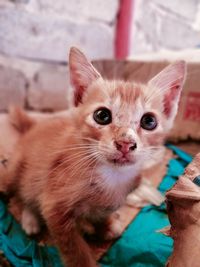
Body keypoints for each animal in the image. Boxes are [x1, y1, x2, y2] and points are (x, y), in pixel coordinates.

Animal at [3, 48, 187, 267]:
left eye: (149, 121)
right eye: (102, 115)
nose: (125, 143)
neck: (112, 175)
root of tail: (32, 128)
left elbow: (103, 213)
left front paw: (105, 225)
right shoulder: (54, 207)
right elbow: (74, 249)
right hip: (15, 172)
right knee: (18, 192)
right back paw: (30, 218)